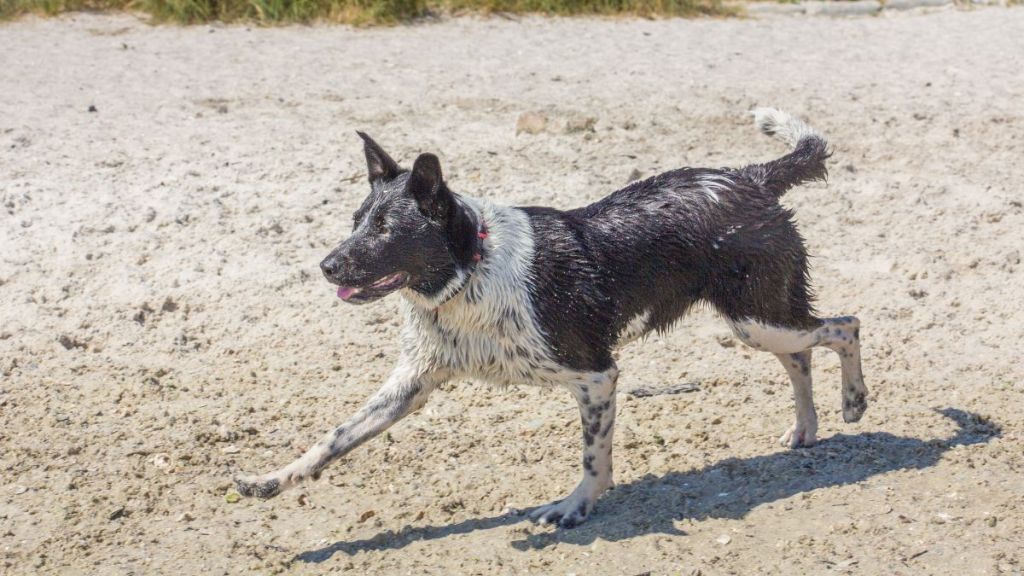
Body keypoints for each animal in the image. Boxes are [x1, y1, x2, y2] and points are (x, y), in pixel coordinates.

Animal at [235, 106, 868, 524]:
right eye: (356, 220)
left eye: (387, 229)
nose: (326, 266)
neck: (472, 271)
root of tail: (750, 177)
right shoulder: (410, 387)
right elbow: (333, 439)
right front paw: (272, 479)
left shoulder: (596, 376)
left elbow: (593, 457)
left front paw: (575, 506)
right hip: (758, 323)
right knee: (802, 356)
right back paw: (806, 428)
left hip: (758, 317)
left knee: (844, 326)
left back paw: (853, 401)